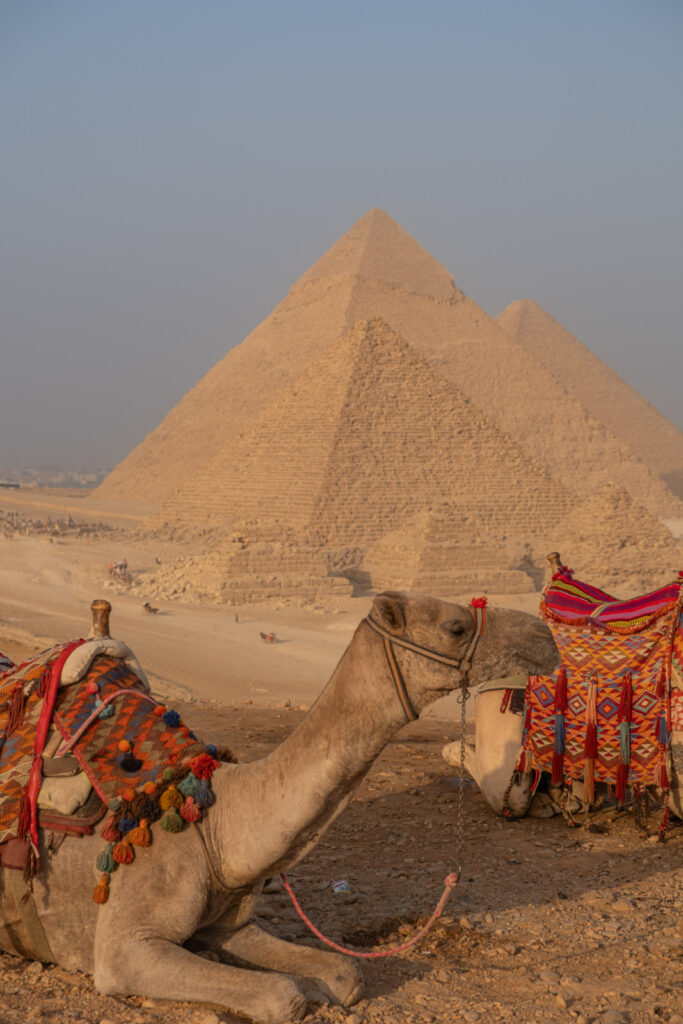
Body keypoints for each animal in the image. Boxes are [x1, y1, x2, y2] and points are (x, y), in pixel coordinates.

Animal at [0, 592, 558, 1023]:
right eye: (456, 627)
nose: (545, 636)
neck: (214, 823)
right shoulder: (124, 946)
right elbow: (282, 995)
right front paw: (299, 991)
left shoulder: (229, 923)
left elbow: (345, 972)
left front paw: (320, 983)